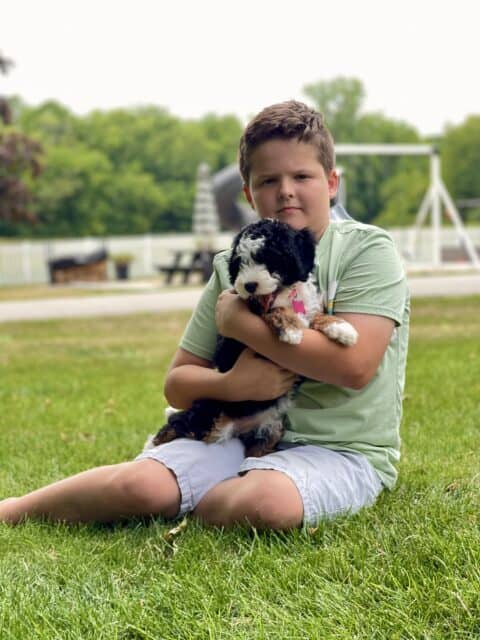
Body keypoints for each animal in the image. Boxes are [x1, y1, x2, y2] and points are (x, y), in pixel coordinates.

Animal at [148, 219, 358, 456]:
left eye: (270, 257)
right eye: (241, 263)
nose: (249, 285)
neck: (284, 293)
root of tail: (236, 428)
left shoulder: (308, 310)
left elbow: (317, 316)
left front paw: (343, 329)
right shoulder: (238, 335)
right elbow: (275, 311)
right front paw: (291, 331)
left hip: (268, 431)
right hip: (209, 412)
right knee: (179, 422)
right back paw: (153, 442)